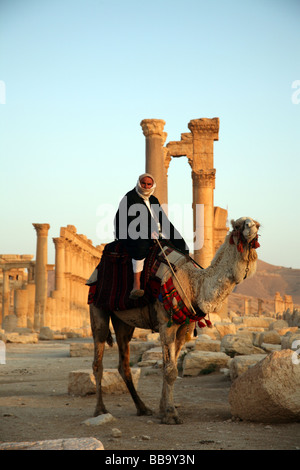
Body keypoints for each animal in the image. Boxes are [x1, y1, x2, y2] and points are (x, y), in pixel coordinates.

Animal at [89, 217, 260, 426]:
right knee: (98, 360)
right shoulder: (166, 323)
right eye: (237, 226)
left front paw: (162, 410)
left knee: (124, 364)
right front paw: (171, 414)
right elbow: (170, 370)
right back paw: (100, 410)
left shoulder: (184, 327)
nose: (252, 227)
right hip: (97, 308)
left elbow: (169, 367)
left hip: (124, 323)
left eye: (257, 224)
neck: (195, 285)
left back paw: (142, 408)